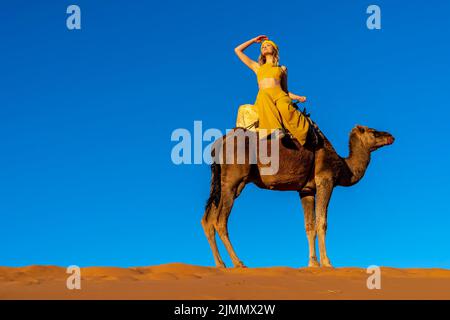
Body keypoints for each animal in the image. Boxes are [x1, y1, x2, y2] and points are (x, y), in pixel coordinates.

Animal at [200, 122, 394, 268]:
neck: (343, 165)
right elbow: (322, 222)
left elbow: (309, 226)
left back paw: (221, 264)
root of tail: (218, 144)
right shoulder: (326, 181)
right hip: (234, 180)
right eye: (374, 132)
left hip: (222, 182)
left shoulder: (306, 190)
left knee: (207, 219)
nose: (391, 136)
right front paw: (327, 263)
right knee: (220, 220)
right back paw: (239, 263)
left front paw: (313, 263)